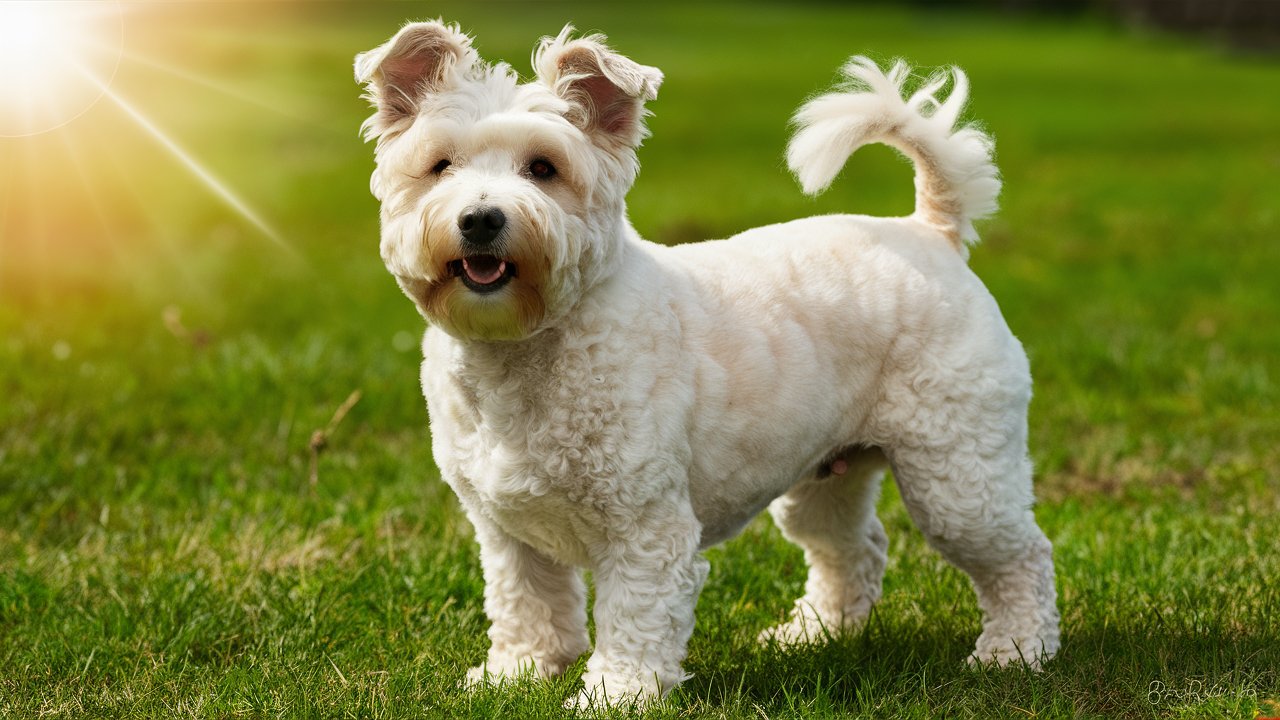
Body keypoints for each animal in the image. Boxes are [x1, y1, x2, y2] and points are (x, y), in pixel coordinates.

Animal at [353, 19, 1059, 702]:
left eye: (543, 168)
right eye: (440, 165)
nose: (480, 219)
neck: (534, 343)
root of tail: (930, 231)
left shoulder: (646, 528)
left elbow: (635, 621)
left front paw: (616, 696)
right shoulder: (508, 532)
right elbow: (527, 605)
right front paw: (519, 674)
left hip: (959, 478)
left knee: (1022, 557)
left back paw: (1015, 652)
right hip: (825, 477)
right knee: (853, 550)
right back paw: (813, 634)